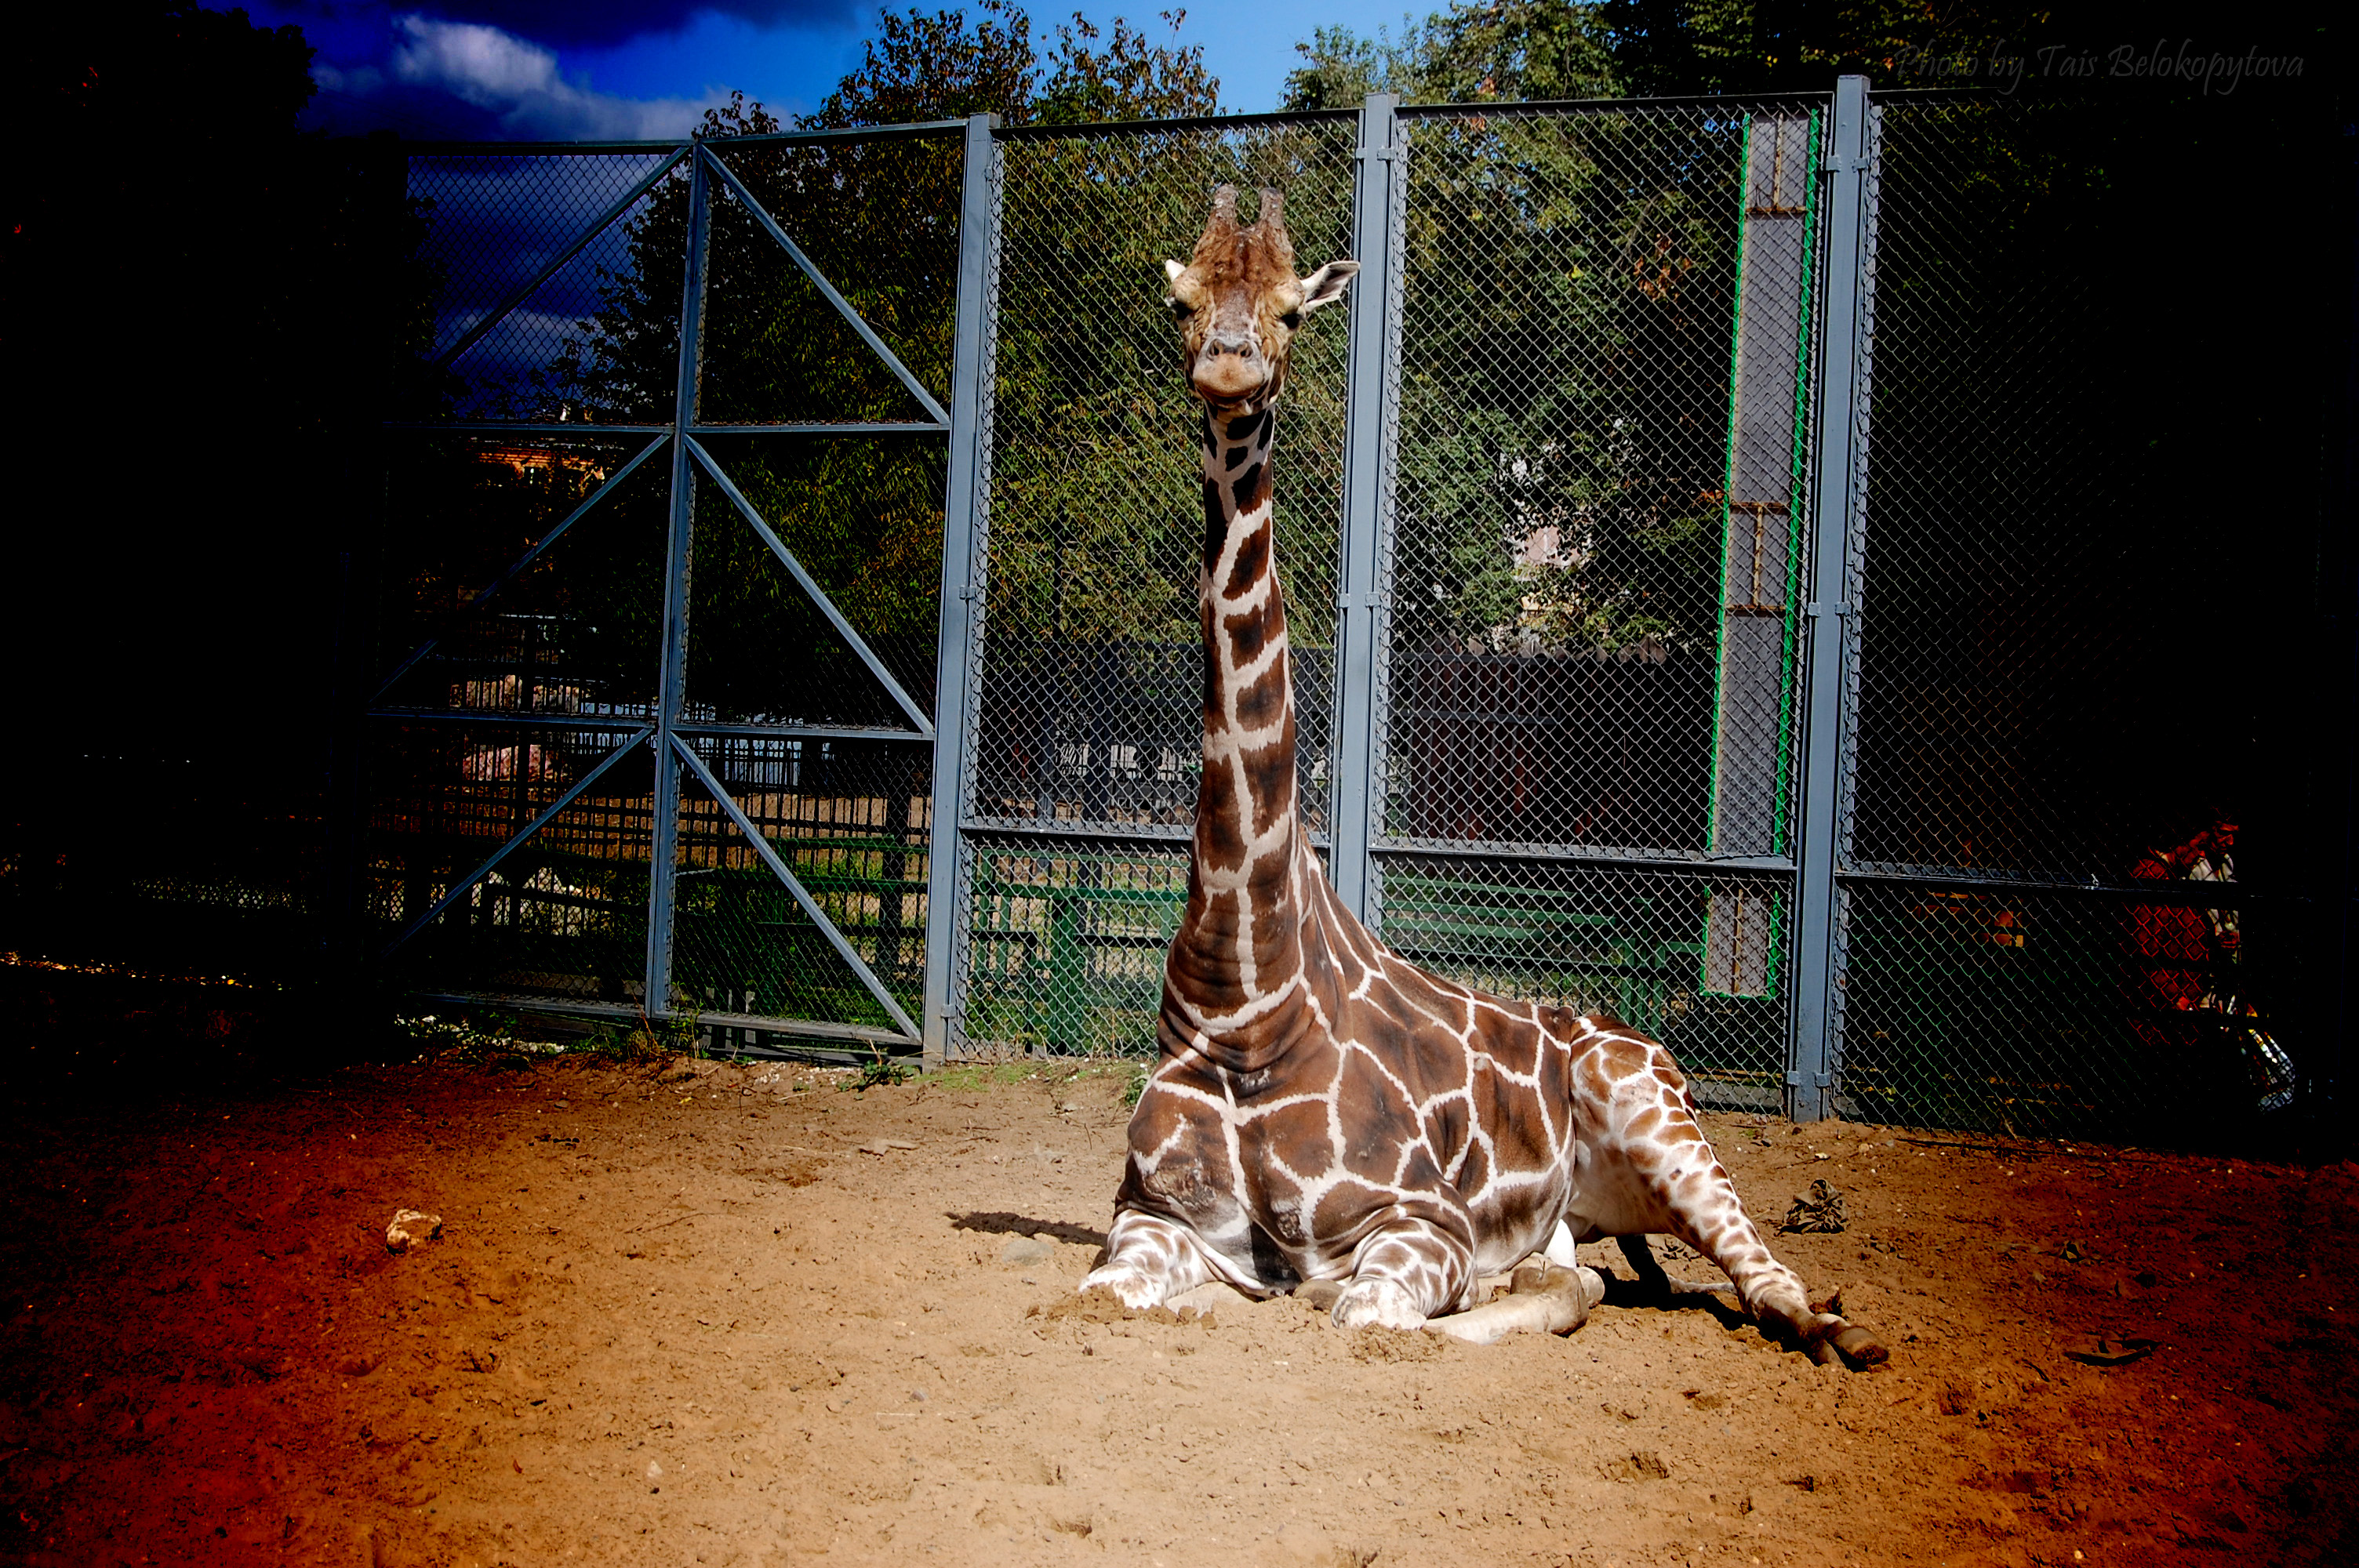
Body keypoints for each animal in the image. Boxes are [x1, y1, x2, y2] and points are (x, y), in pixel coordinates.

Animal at [1080, 180, 1887, 1358]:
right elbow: (1102, 1293)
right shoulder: (1149, 1218)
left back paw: (1834, 1326)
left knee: (1759, 1271)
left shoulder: (1418, 1223)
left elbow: (1368, 1315)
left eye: (1291, 310)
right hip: (1600, 1197)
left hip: (1656, 1115)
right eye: (1184, 303)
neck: (1247, 996)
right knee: (1596, 1263)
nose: (1230, 365)